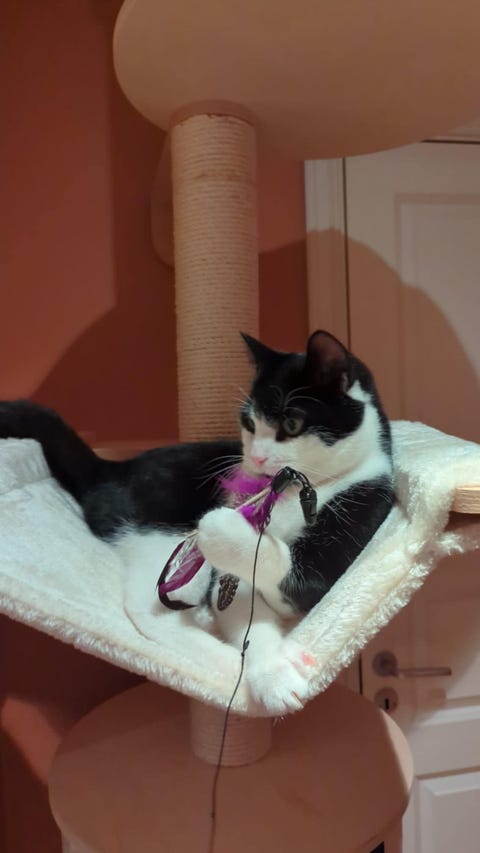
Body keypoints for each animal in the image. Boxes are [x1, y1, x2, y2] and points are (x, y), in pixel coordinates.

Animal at [0, 330, 394, 713]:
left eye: (292, 422)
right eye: (249, 423)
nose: (256, 457)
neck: (292, 491)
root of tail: (111, 470)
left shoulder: (365, 508)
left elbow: (294, 574)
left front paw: (221, 528)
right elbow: (244, 611)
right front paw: (273, 674)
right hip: (157, 532)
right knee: (151, 611)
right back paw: (228, 661)